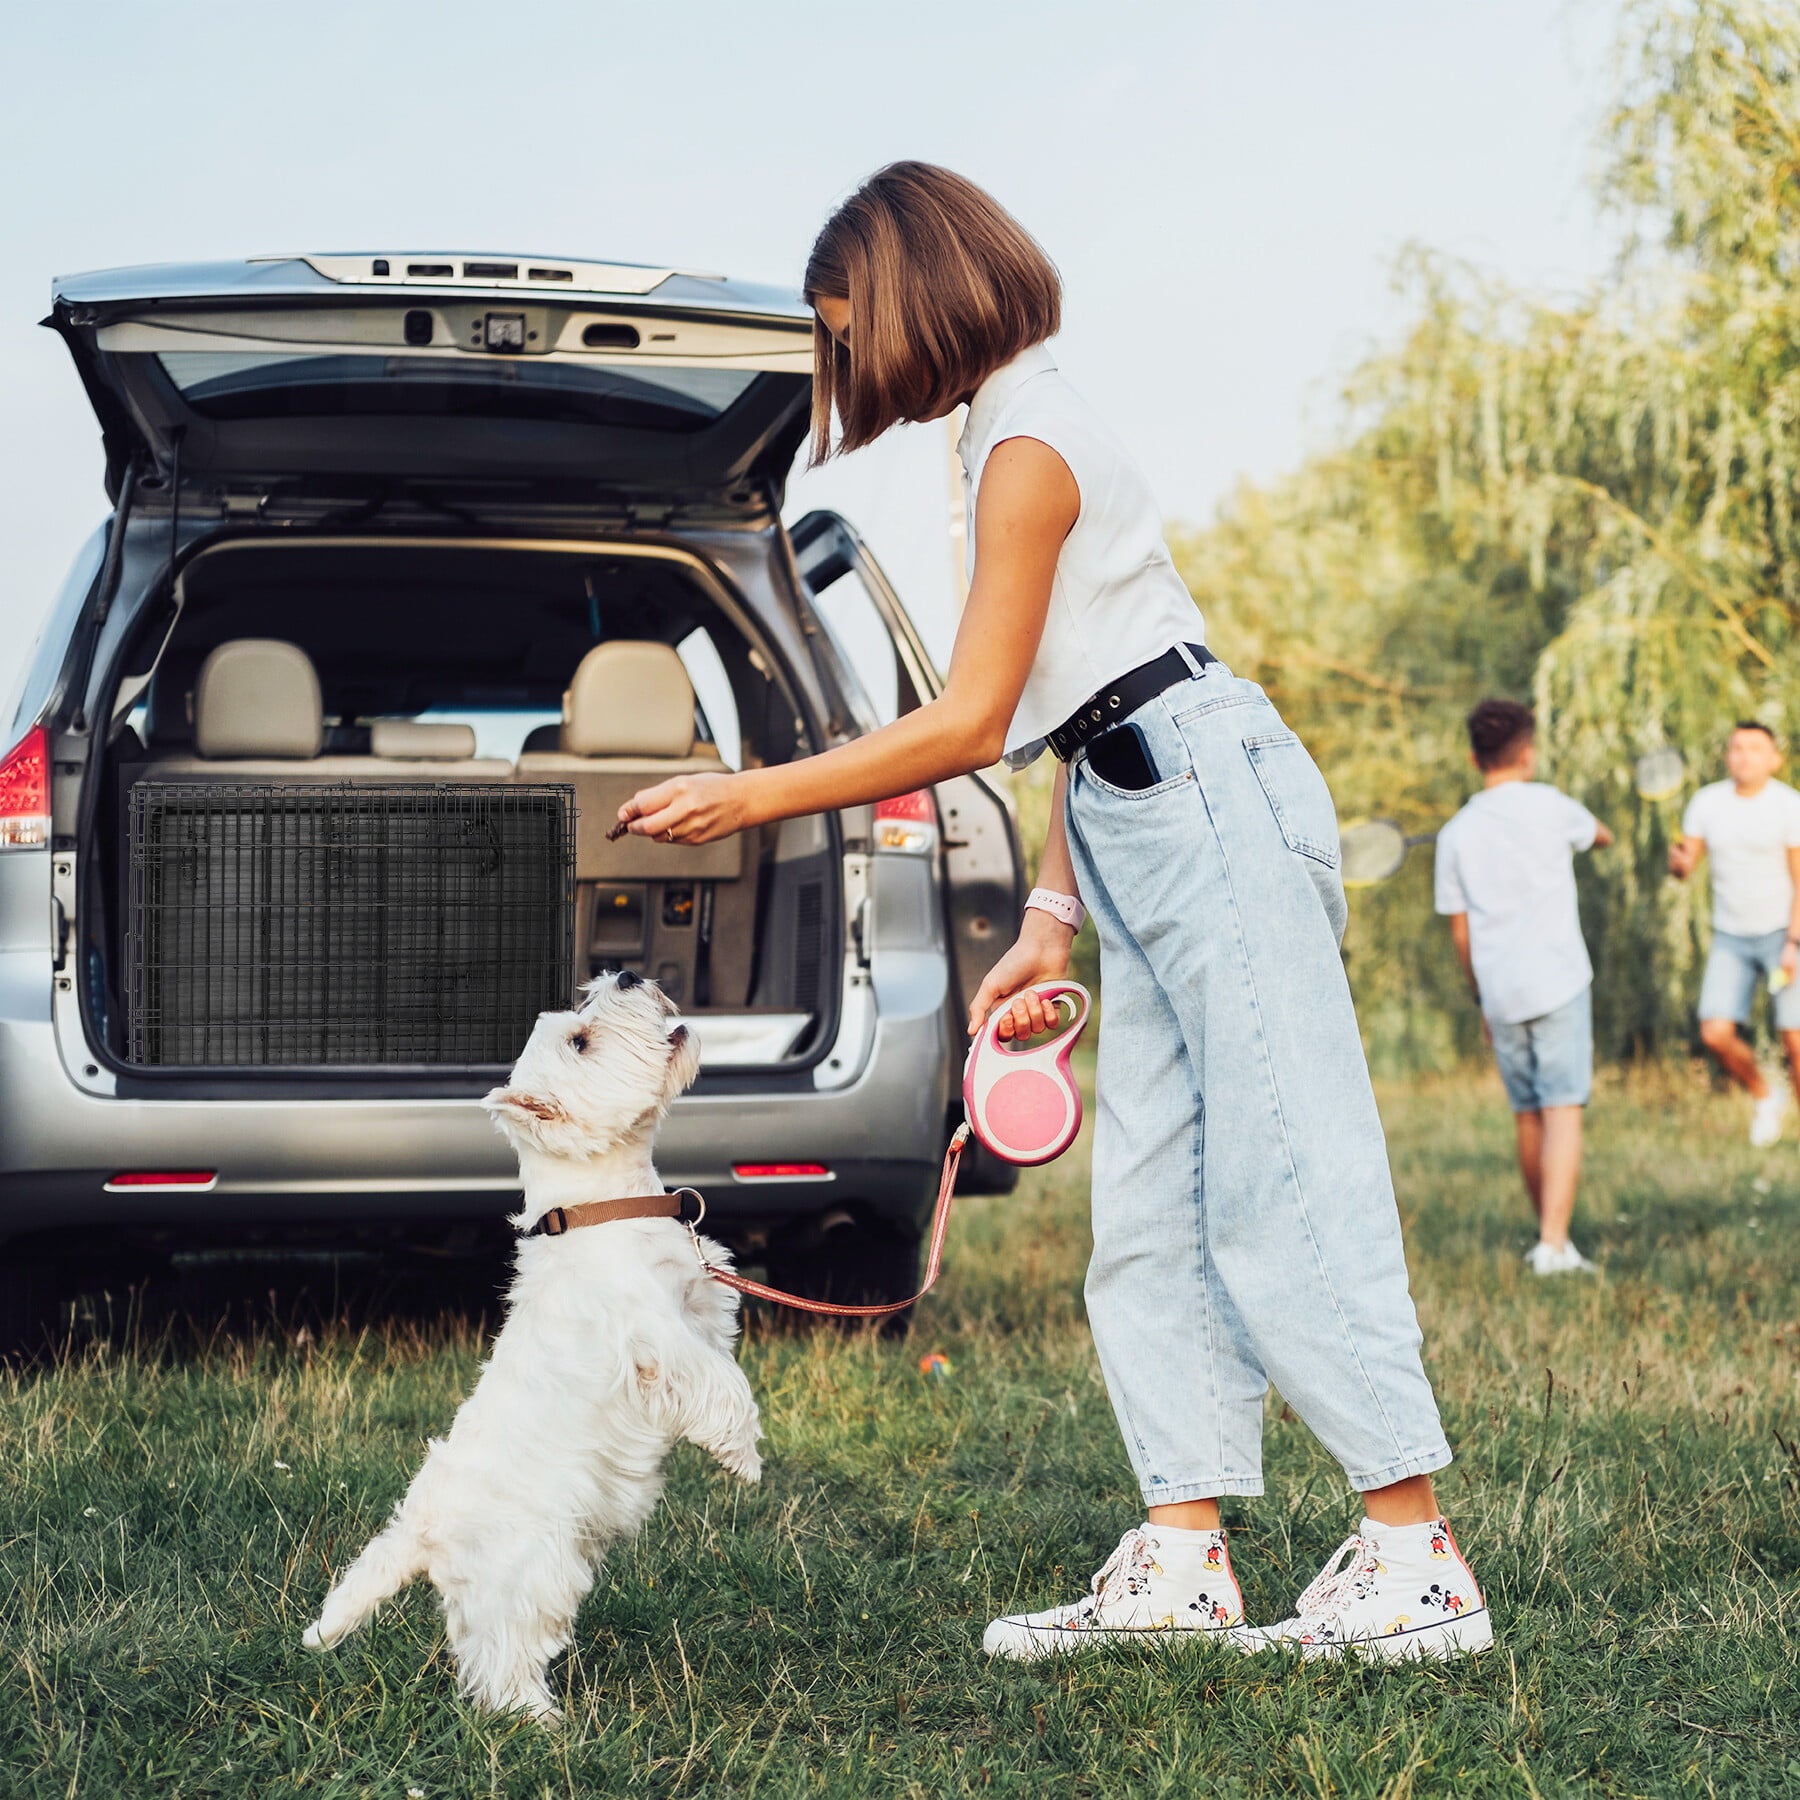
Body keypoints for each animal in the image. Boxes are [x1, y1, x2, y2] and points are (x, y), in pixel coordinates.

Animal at [300, 972, 759, 1728]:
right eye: (580, 1039)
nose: (628, 975)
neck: (605, 1207)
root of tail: (424, 1528)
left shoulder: (699, 1304)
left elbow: (722, 1357)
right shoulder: (655, 1338)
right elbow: (721, 1384)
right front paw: (744, 1457)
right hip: (533, 1570)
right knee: (499, 1655)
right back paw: (540, 1720)